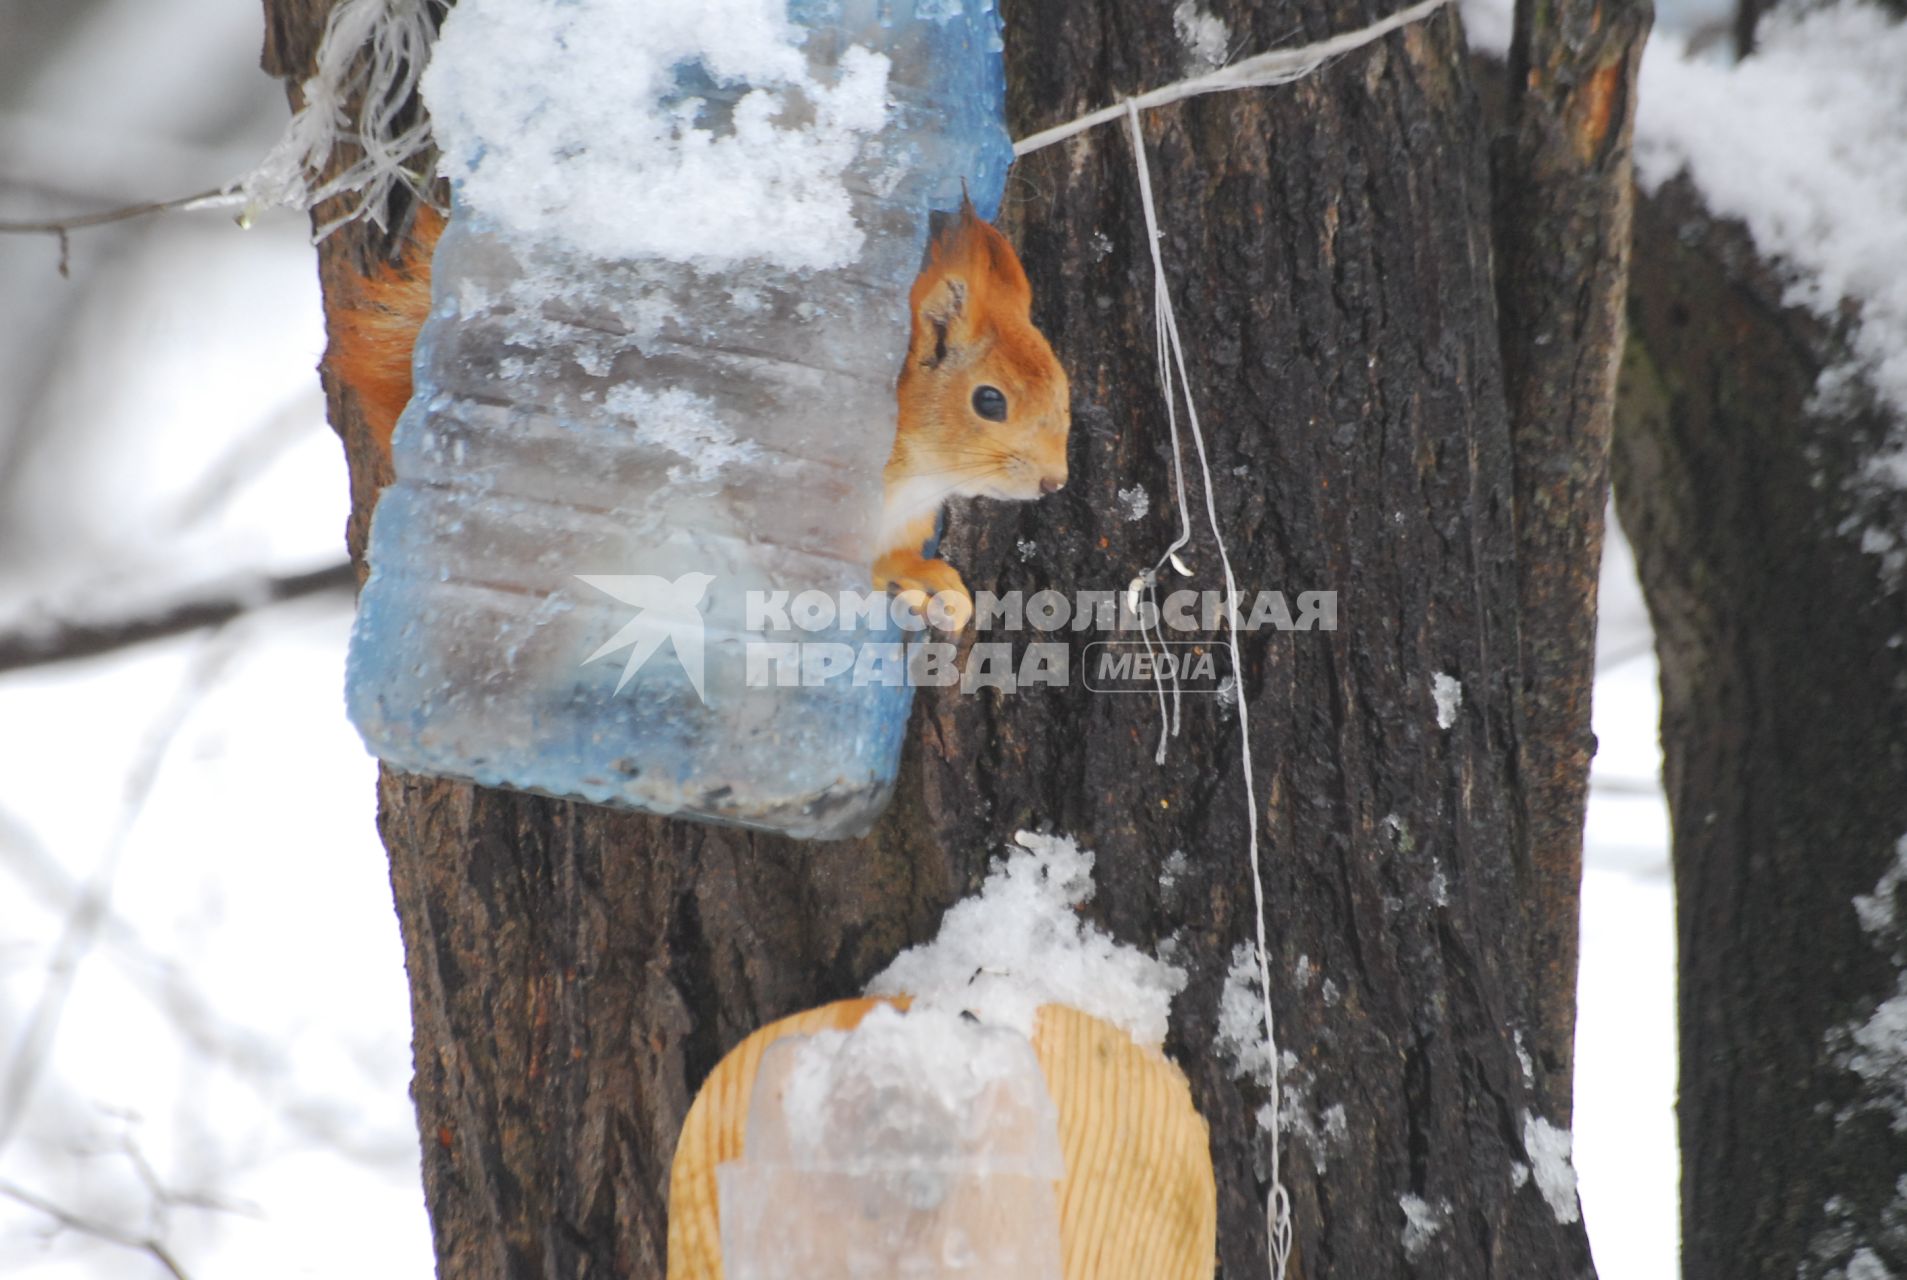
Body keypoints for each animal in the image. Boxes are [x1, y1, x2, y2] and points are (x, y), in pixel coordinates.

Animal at [331, 199, 1075, 629]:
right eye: (989, 400)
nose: (1054, 482)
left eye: (1065, 384)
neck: (920, 470)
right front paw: (884, 584)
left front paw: (927, 578)